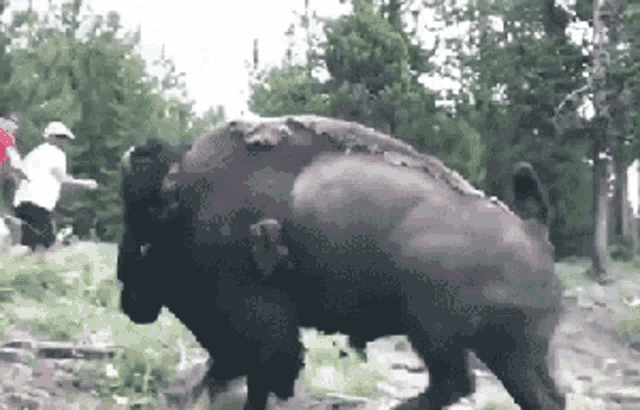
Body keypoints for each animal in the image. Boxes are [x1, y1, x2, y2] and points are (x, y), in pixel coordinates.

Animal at [118, 116, 564, 410]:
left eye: (143, 233)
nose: (129, 298)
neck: (186, 202)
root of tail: (533, 230)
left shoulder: (259, 321)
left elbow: (266, 374)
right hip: (513, 352)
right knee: (543, 397)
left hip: (434, 329)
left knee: (455, 382)